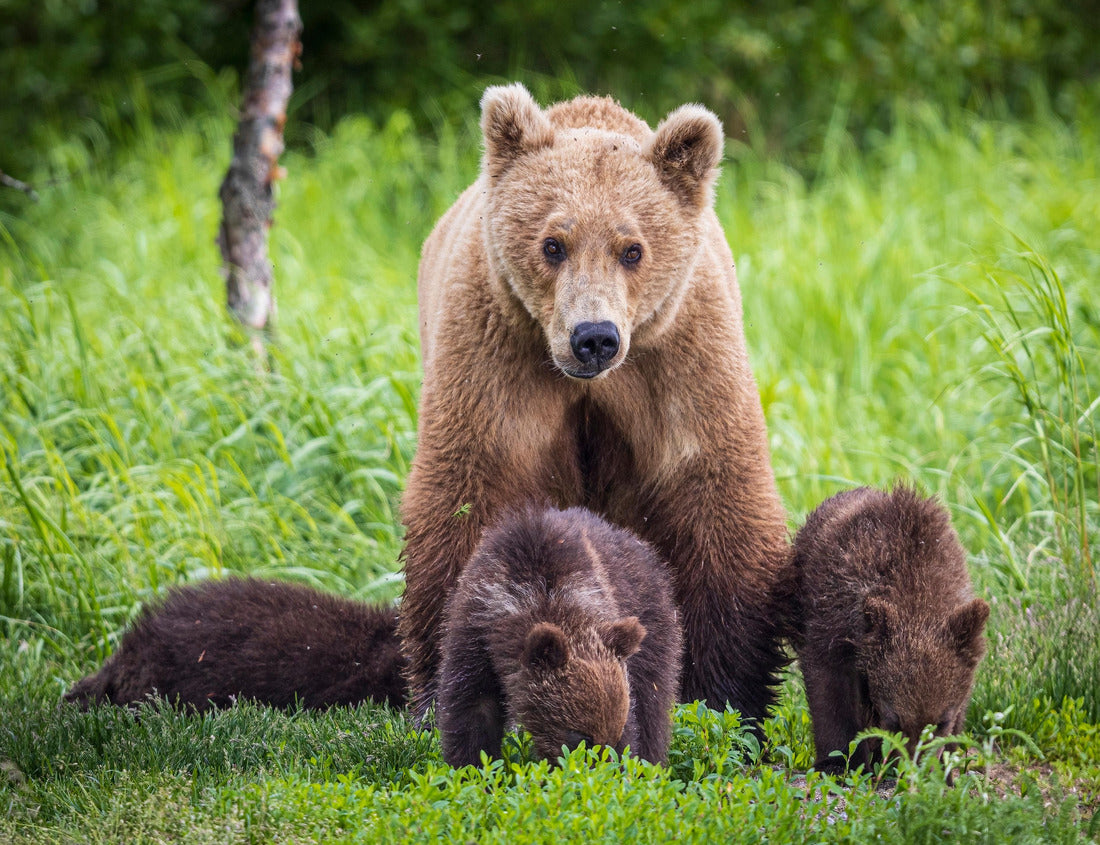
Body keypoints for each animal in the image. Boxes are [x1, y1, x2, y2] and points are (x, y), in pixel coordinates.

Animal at [400, 83, 791, 729]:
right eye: (552, 243)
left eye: (632, 249)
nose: (595, 336)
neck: (588, 383)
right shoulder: (497, 353)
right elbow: (469, 492)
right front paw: (446, 683)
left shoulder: (679, 357)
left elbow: (713, 494)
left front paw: (728, 694)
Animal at [437, 505, 681, 767]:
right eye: (581, 736)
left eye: (612, 736)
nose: (601, 769)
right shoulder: (474, 631)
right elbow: (471, 709)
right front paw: (473, 764)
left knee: (651, 703)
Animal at [788, 485, 990, 773]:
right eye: (895, 719)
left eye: (941, 722)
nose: (915, 772)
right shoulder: (833, 619)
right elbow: (830, 688)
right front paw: (839, 763)